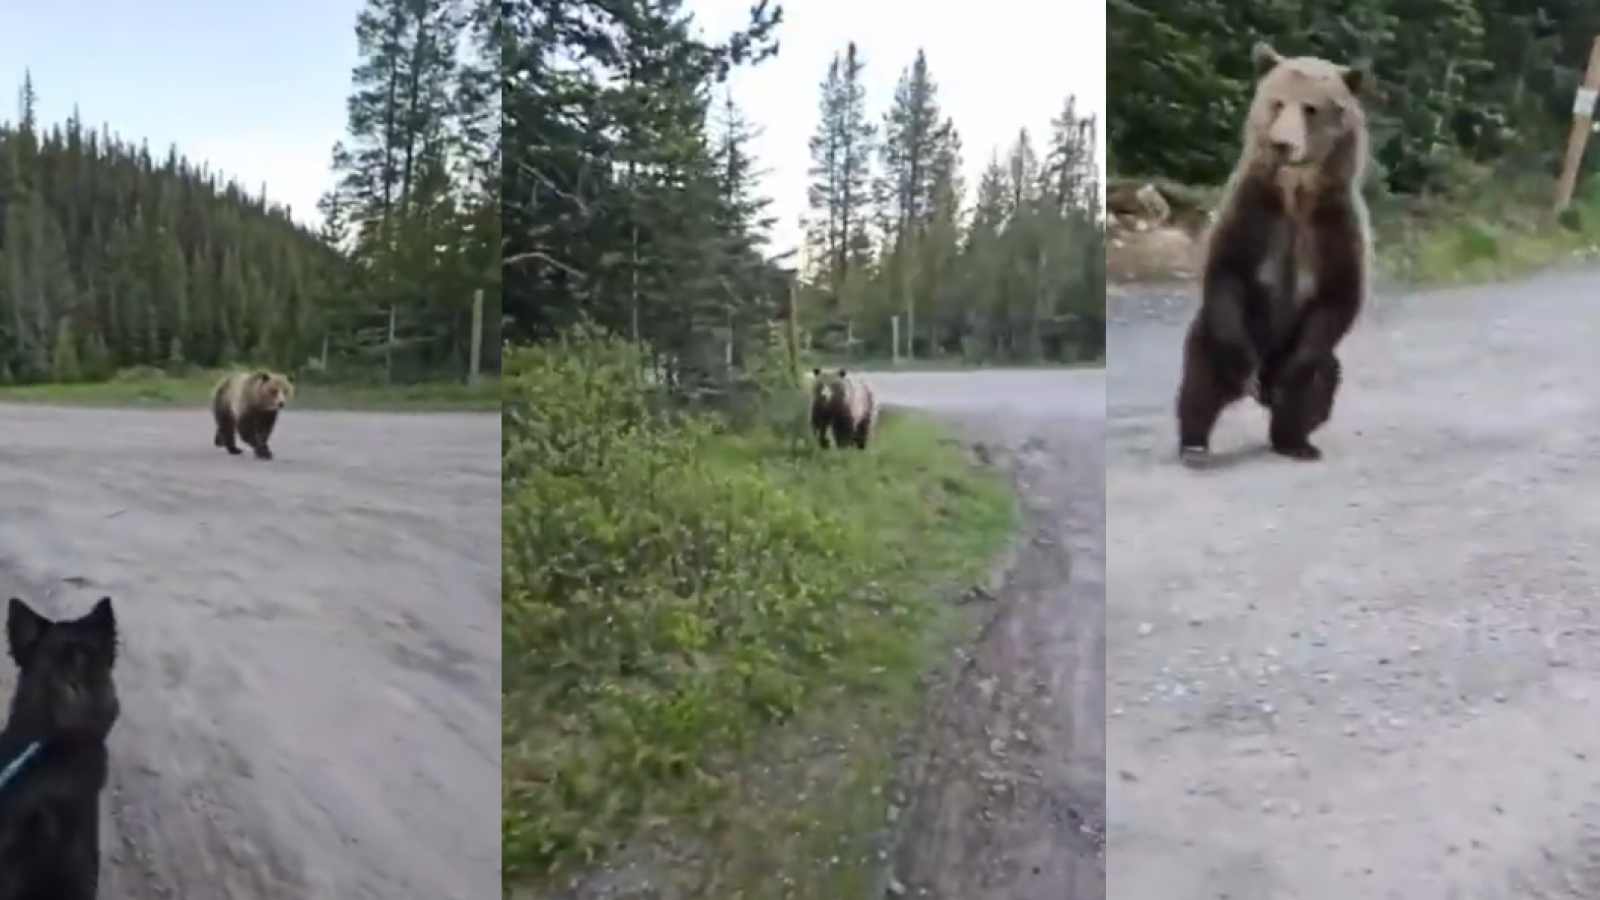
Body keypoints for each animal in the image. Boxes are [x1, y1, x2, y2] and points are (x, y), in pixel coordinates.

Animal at [1175, 42, 1373, 466]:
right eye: (1277, 102)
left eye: (1311, 108)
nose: (1283, 144)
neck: (1296, 194)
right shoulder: (1253, 210)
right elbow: (1226, 271)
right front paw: (1243, 366)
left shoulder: (1336, 225)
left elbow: (1338, 296)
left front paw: (1290, 387)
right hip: (1212, 338)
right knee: (1200, 380)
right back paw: (1195, 444)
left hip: (1311, 358)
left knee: (1318, 385)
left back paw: (1294, 440)